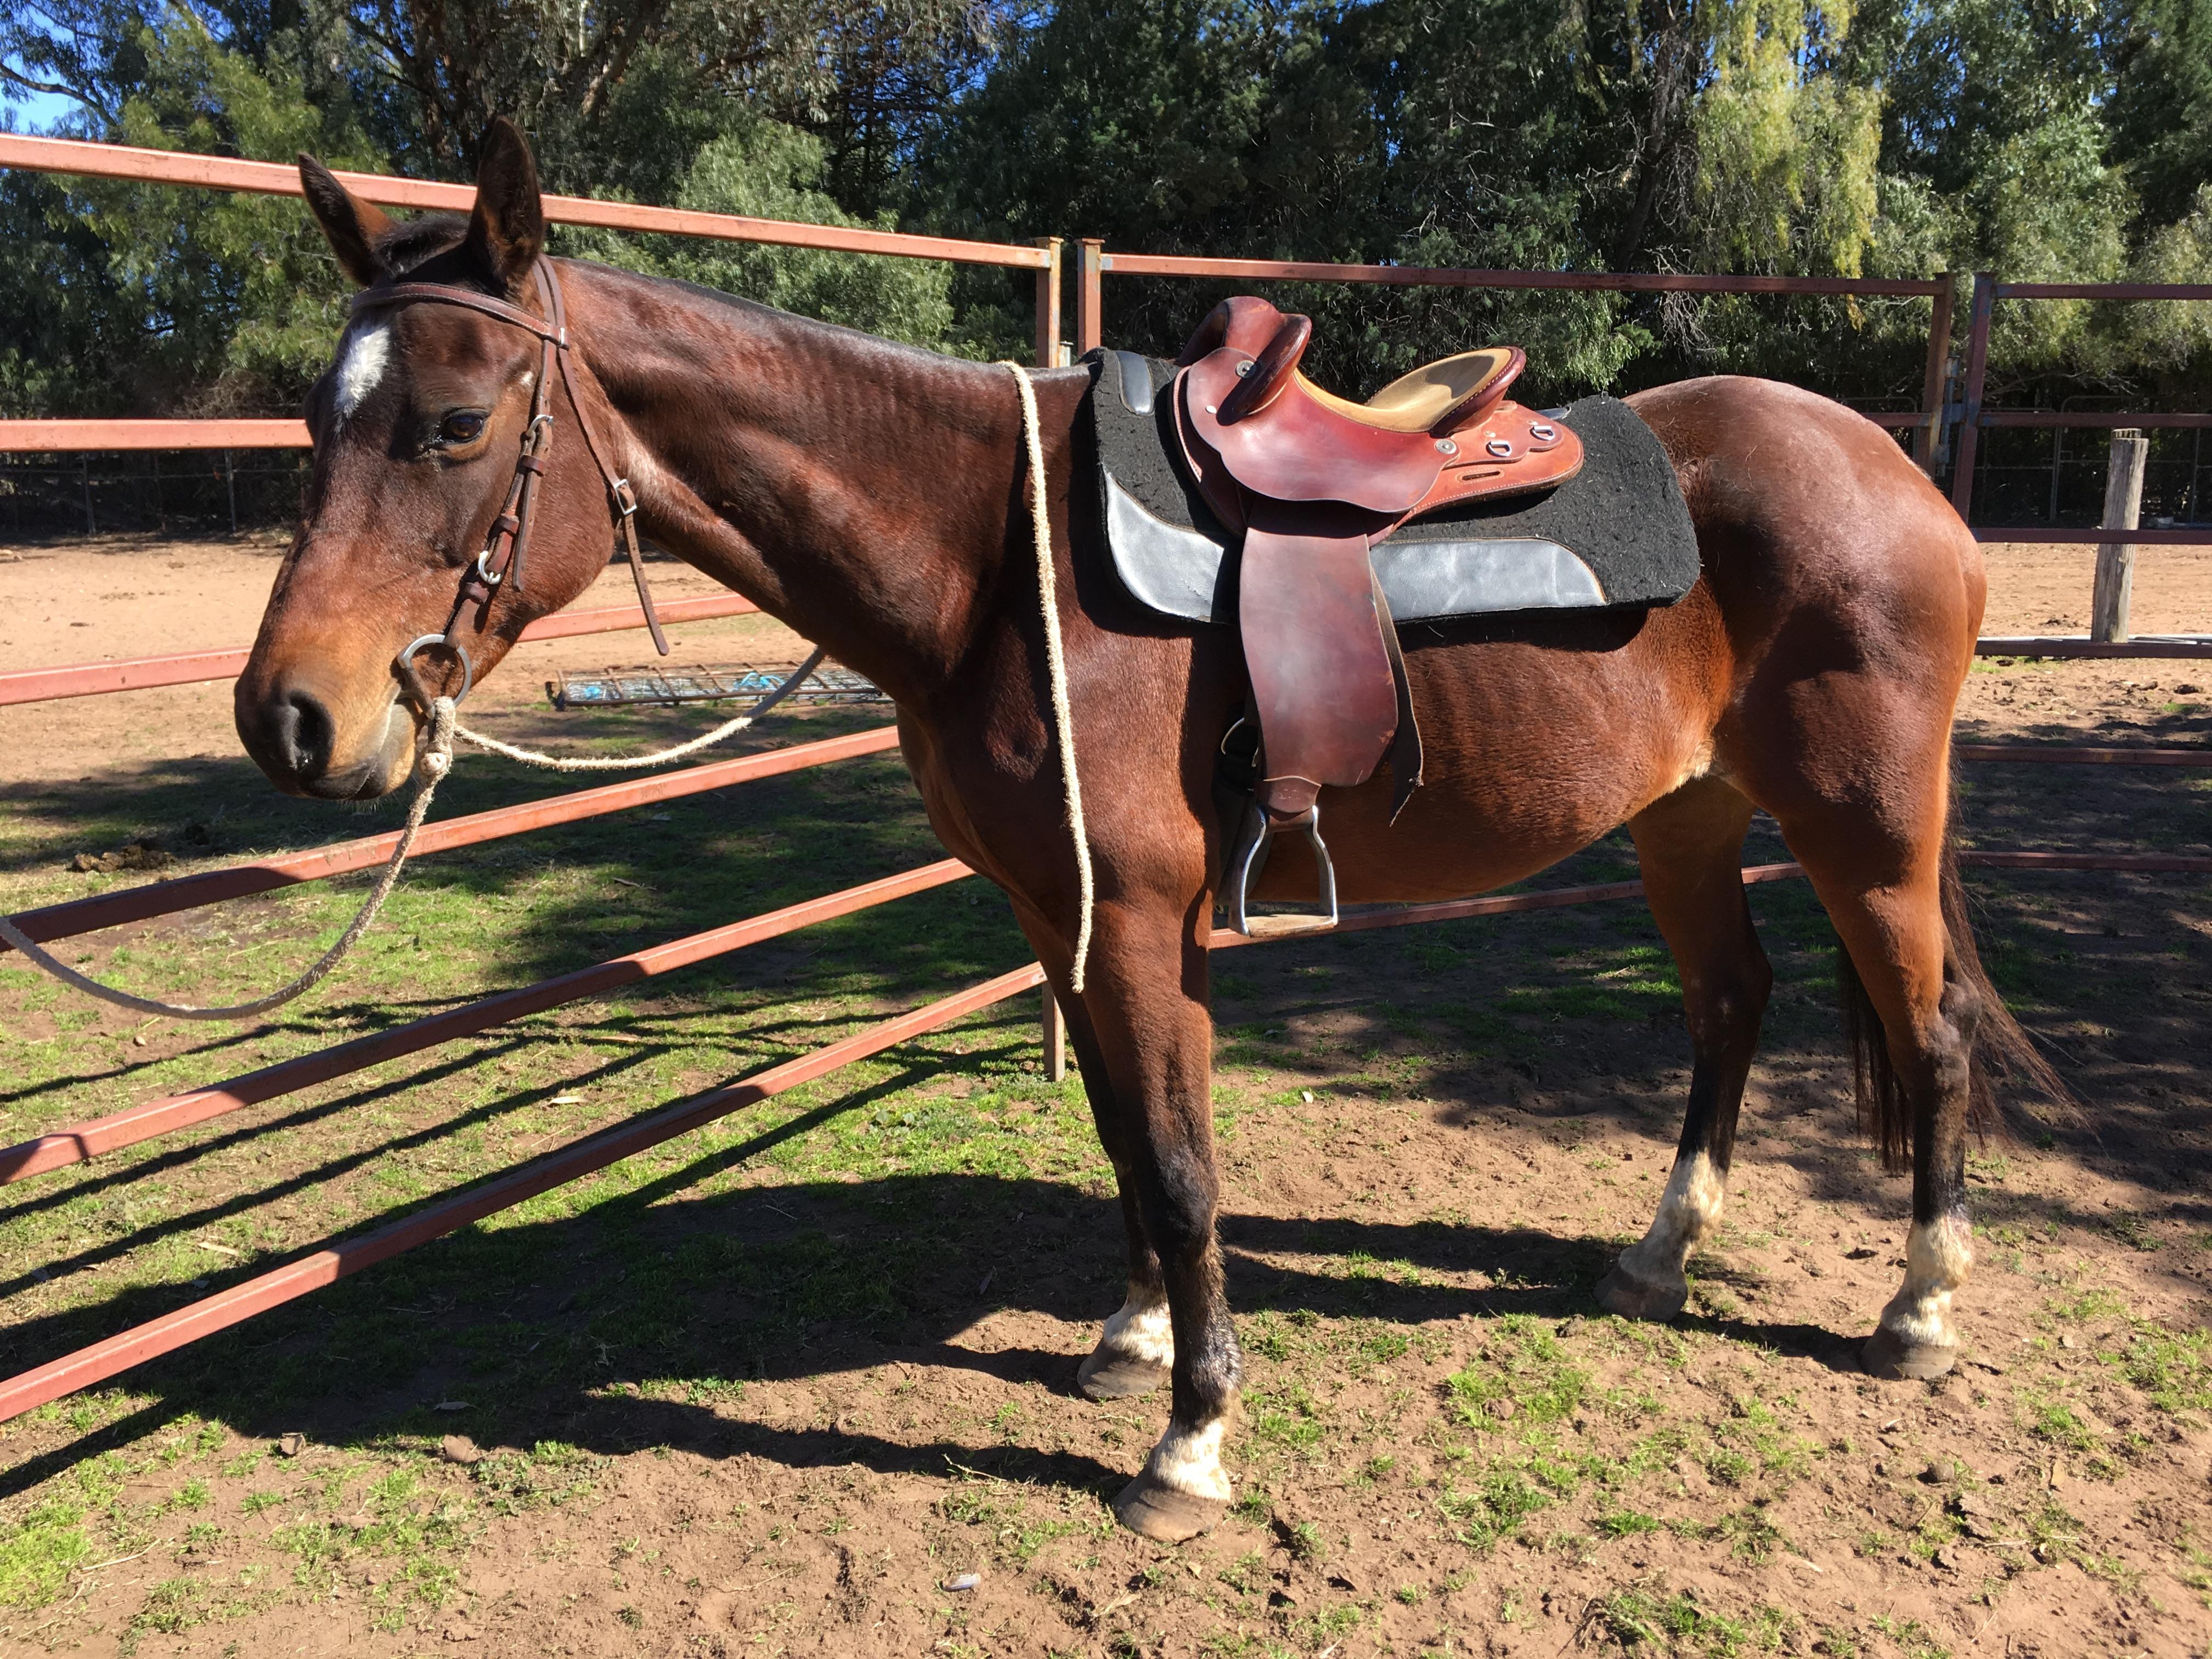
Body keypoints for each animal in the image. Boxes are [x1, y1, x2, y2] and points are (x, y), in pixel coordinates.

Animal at [235, 118, 2053, 1542]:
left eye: (455, 425)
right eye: (316, 426)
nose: (289, 720)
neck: (995, 561)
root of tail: (1895, 470)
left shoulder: (1134, 921)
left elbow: (1180, 1165)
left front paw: (1190, 1440)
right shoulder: (1060, 917)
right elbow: (1124, 1139)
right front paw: (1129, 1345)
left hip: (1866, 825)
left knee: (1934, 1029)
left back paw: (1920, 1307)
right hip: (1689, 816)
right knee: (1732, 1005)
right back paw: (1658, 1257)